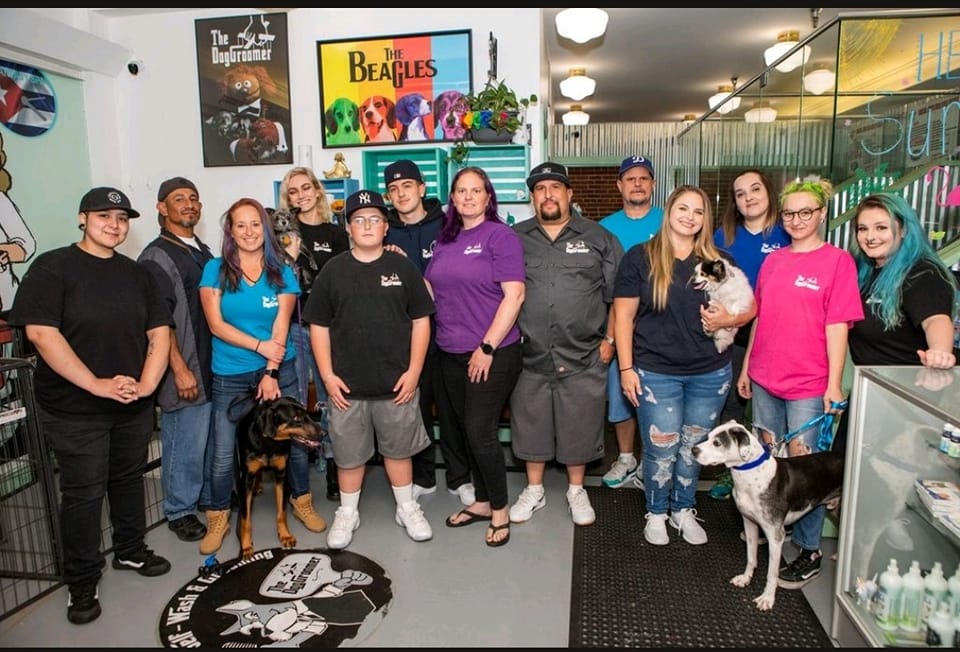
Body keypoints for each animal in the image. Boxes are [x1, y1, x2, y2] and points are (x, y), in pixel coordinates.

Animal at [233, 395, 324, 560]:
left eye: (307, 413)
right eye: (295, 418)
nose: (324, 433)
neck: (269, 443)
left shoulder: (282, 476)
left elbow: (281, 512)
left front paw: (285, 536)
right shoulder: (246, 480)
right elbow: (245, 519)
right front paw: (246, 546)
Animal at [692, 420, 844, 611]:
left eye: (717, 443)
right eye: (709, 436)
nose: (693, 450)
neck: (751, 475)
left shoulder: (775, 535)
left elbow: (772, 574)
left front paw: (767, 598)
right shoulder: (749, 523)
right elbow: (751, 557)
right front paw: (745, 578)